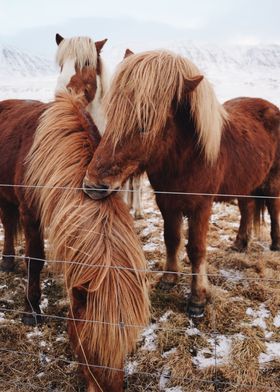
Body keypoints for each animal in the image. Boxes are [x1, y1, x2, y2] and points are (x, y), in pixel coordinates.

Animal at [80, 49, 280, 318]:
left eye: (145, 125)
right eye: (112, 115)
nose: (92, 185)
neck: (185, 158)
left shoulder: (201, 207)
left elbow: (196, 248)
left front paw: (197, 299)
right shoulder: (166, 202)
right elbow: (171, 238)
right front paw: (169, 278)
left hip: (271, 182)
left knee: (273, 208)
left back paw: (275, 243)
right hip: (245, 184)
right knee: (246, 209)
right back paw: (240, 243)